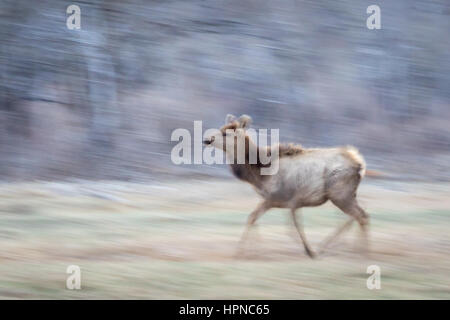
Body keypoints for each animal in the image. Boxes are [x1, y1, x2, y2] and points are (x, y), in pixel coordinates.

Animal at [203, 114, 370, 258]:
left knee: (359, 216)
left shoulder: (278, 198)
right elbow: (264, 220)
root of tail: (359, 164)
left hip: (339, 193)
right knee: (361, 215)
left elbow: (278, 223)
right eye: (221, 128)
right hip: (347, 194)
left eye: (226, 133)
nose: (206, 139)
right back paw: (350, 249)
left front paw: (240, 252)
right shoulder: (287, 202)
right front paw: (254, 250)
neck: (260, 175)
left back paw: (357, 252)